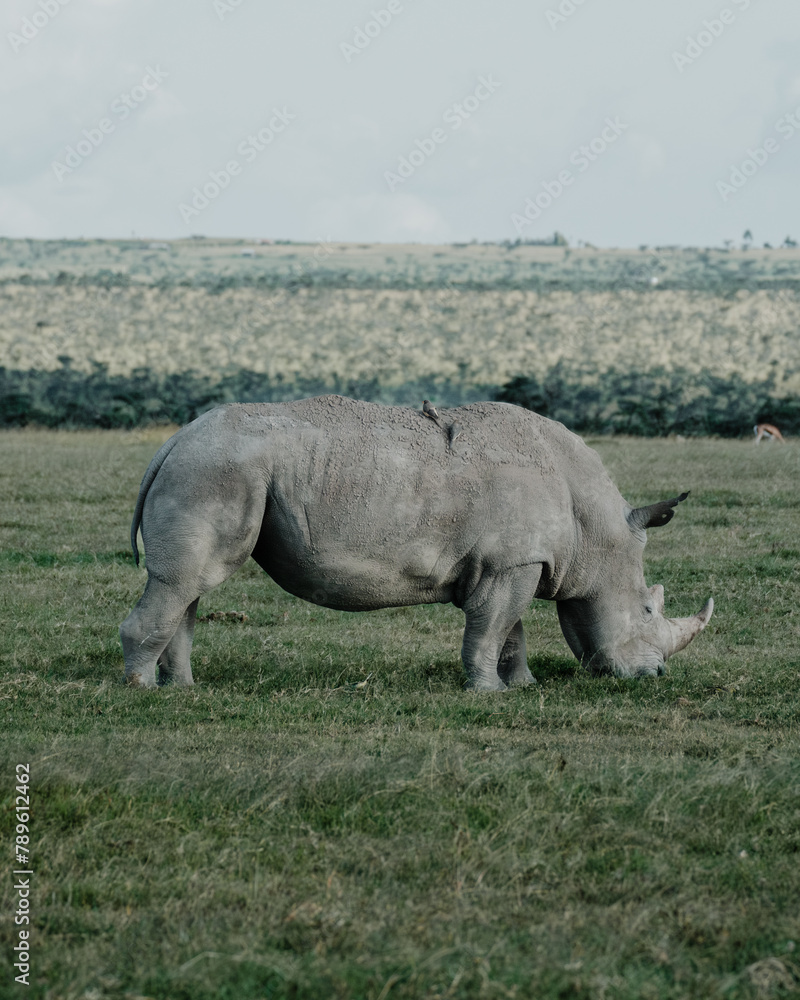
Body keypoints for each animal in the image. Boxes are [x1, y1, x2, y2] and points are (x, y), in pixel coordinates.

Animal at [120, 396, 713, 690]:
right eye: (646, 610)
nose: (656, 676)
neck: (595, 531)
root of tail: (173, 442)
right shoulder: (511, 562)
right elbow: (492, 628)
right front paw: (489, 694)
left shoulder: (512, 560)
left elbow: (511, 630)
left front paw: (523, 686)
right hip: (216, 471)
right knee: (184, 581)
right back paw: (142, 690)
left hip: (211, 468)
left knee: (190, 586)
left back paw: (184, 689)